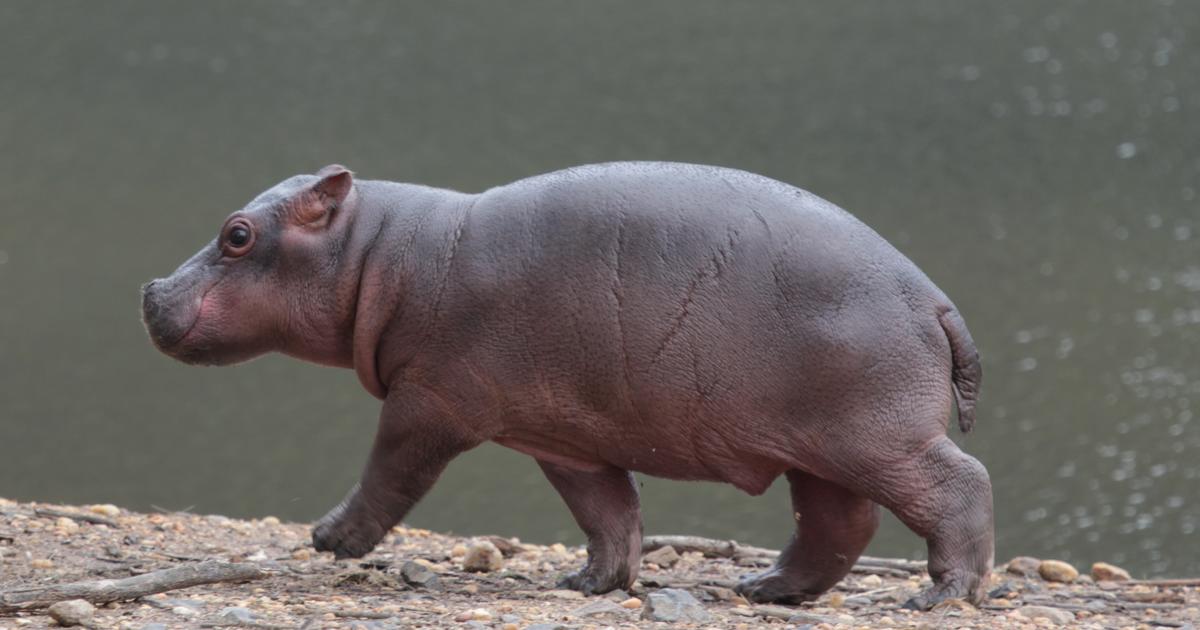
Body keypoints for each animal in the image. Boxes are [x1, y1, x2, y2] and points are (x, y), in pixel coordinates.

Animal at [140, 162, 988, 609]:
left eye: (237, 235)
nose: (148, 291)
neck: (378, 254)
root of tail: (936, 299)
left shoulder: (429, 403)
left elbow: (390, 474)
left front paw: (329, 538)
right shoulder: (561, 436)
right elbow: (608, 513)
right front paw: (587, 582)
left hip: (877, 436)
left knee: (957, 484)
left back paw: (946, 596)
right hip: (818, 448)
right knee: (836, 524)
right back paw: (762, 588)